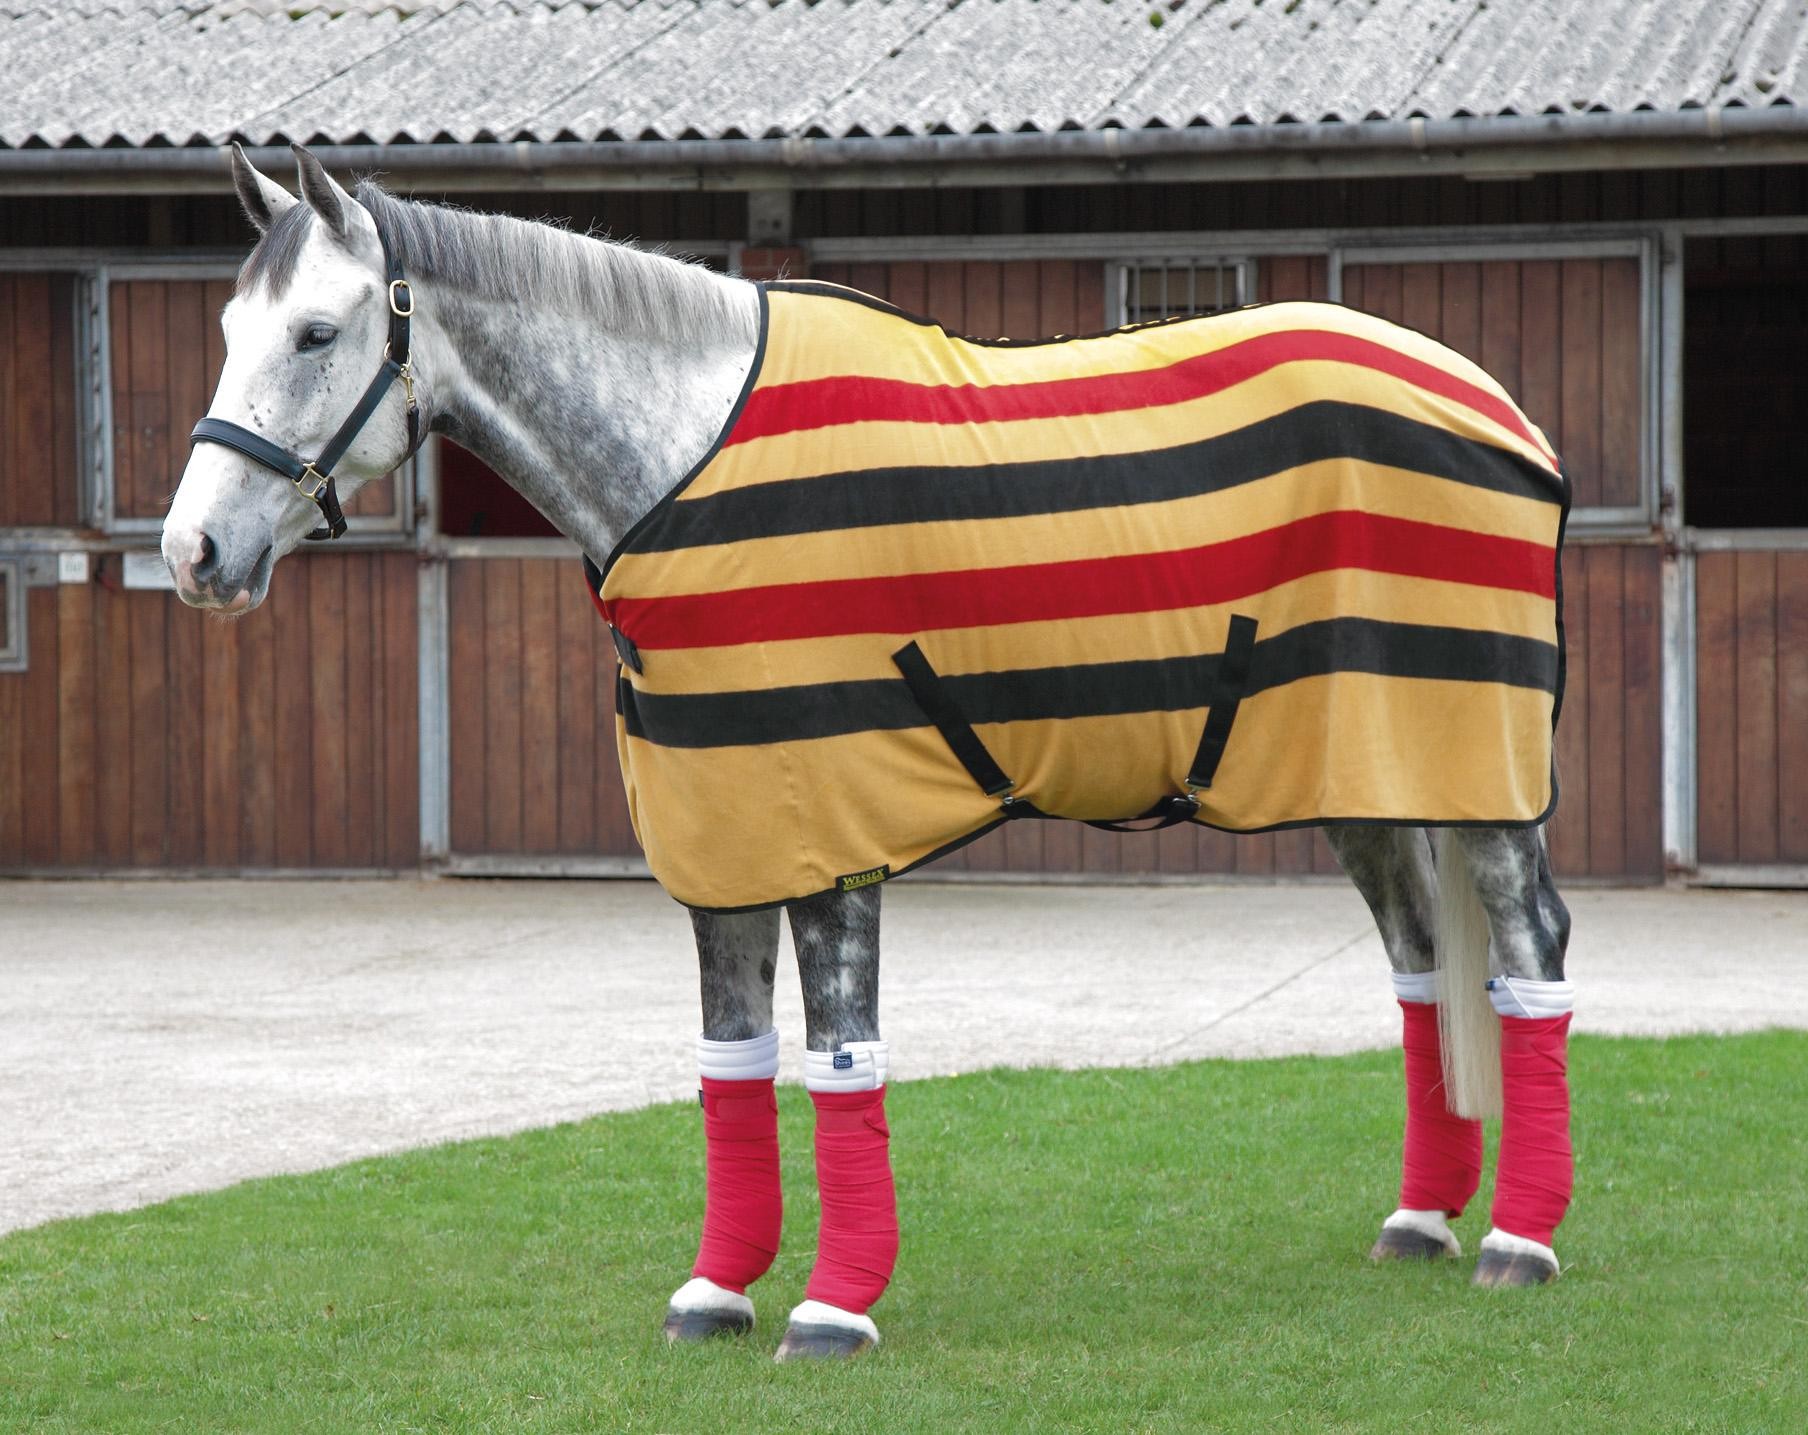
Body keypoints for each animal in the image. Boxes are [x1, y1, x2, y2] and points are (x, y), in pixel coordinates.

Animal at [163, 144, 1576, 1362]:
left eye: (317, 334)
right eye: (229, 334)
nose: (193, 554)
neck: (687, 462)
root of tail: (1493, 403)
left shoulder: (826, 827)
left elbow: (843, 1057)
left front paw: (833, 1306)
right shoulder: (721, 831)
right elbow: (731, 1062)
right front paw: (715, 1290)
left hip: (1481, 772)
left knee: (1526, 948)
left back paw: (1518, 1241)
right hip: (1364, 771)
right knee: (1418, 961)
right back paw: (1420, 1219)